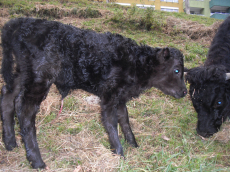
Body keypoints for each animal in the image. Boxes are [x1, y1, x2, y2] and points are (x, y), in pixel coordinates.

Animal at [0, 17, 187, 169]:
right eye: (177, 70)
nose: (185, 92)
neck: (136, 64)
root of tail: (18, 23)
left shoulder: (120, 97)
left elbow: (125, 120)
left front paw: (133, 144)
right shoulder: (109, 95)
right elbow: (111, 123)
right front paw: (119, 153)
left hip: (22, 73)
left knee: (8, 96)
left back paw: (10, 143)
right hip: (40, 77)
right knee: (25, 110)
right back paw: (36, 161)